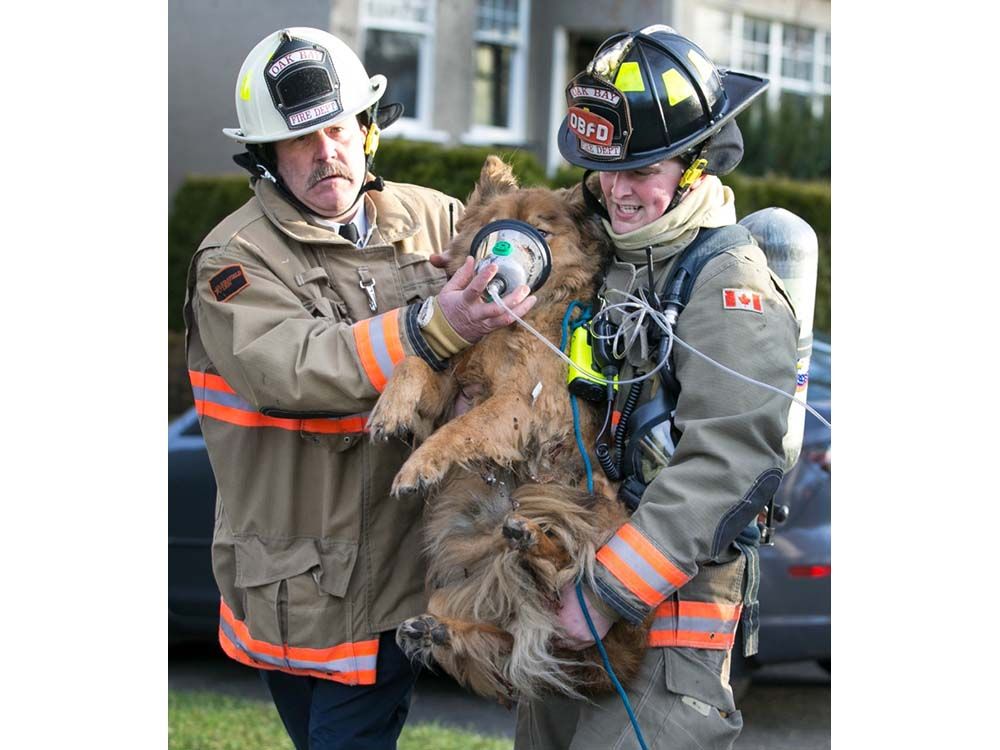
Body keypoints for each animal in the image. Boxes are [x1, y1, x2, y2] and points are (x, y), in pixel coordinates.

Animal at [368, 159, 648, 704]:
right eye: (494, 228)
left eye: (542, 232)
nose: (499, 262)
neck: (515, 320)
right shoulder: (453, 380)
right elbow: (415, 363)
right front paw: (389, 411)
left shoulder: (520, 403)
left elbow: (464, 429)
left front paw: (418, 467)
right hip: (452, 588)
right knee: (520, 637)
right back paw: (440, 630)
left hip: (597, 518)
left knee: (568, 582)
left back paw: (531, 537)